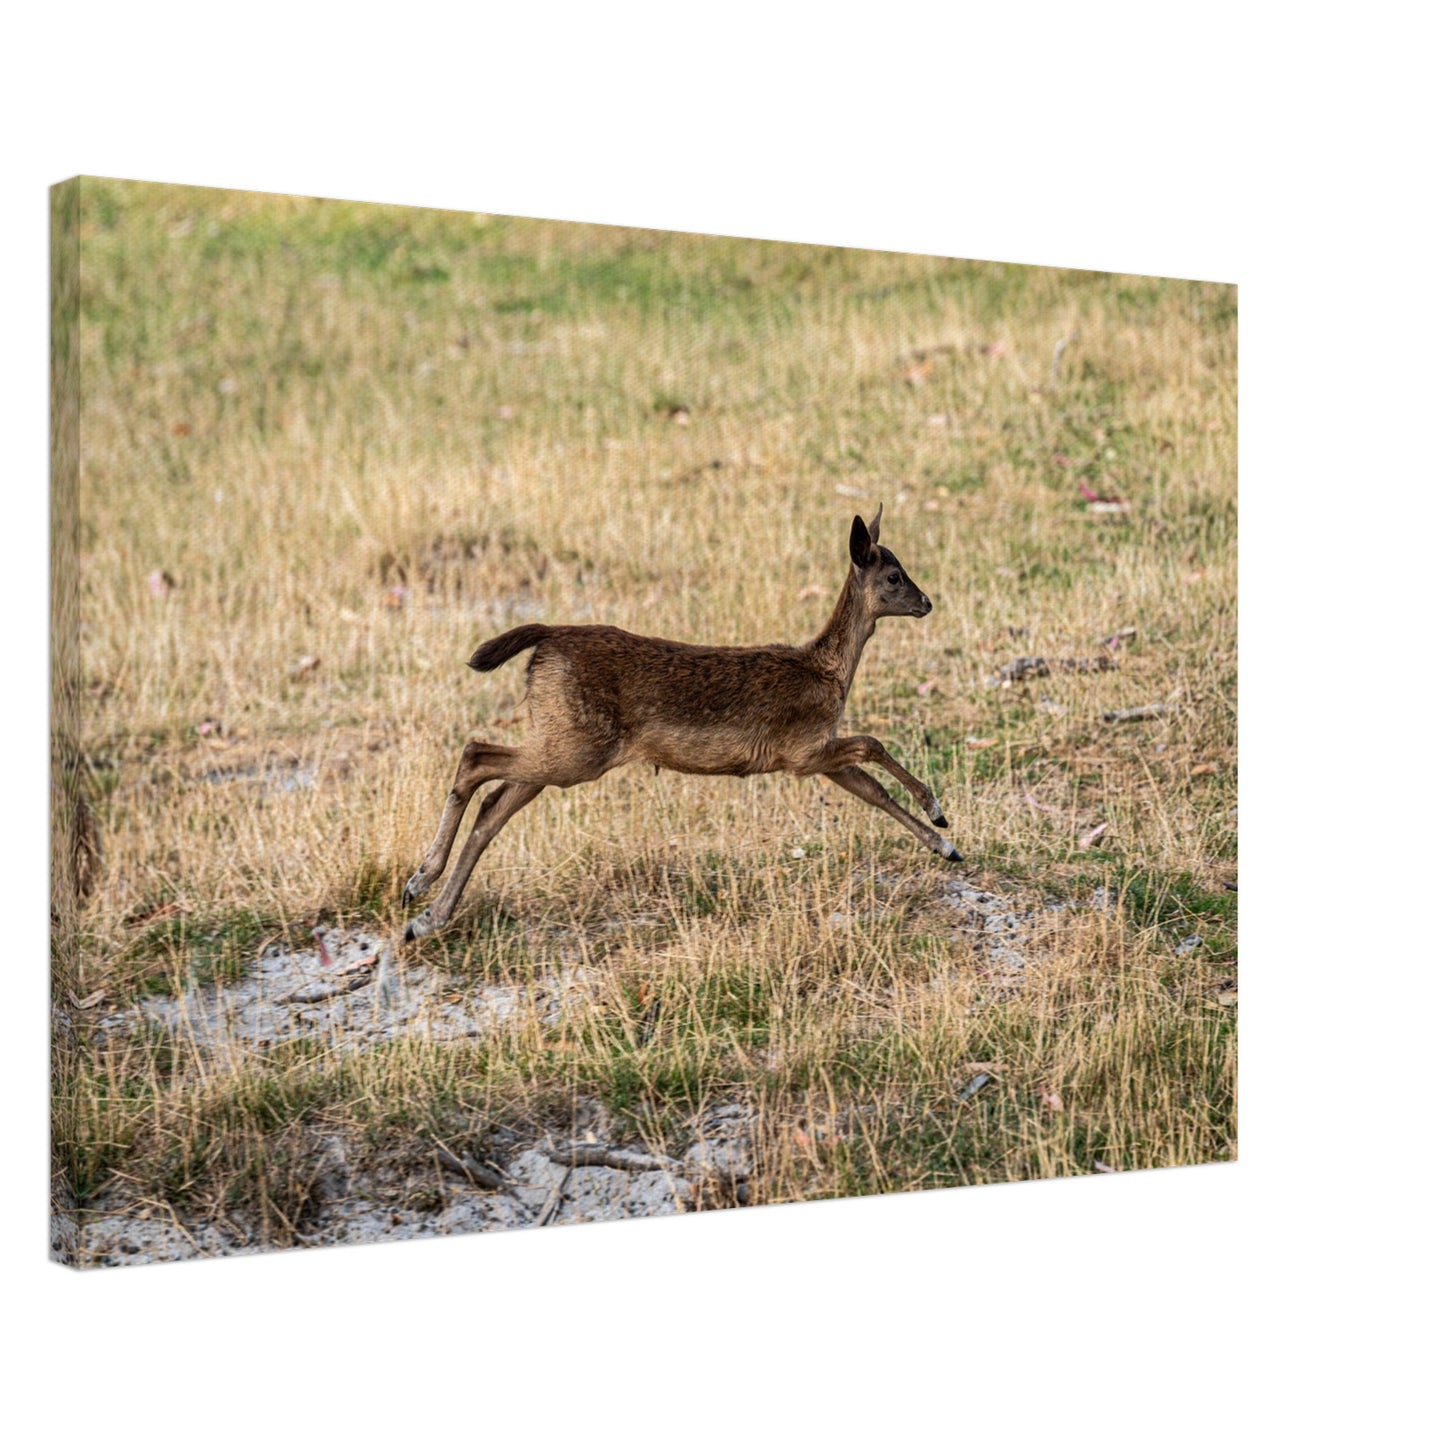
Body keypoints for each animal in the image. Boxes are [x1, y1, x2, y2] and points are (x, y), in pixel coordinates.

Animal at [401, 506, 962, 942]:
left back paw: (425, 917)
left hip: (558, 742)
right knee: (475, 755)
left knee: (493, 807)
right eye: (894, 575)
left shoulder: (818, 756)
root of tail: (547, 637)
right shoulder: (800, 750)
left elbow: (874, 791)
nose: (928, 602)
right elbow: (872, 744)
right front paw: (938, 813)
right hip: (576, 749)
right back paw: (419, 882)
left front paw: (947, 846)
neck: (828, 673)